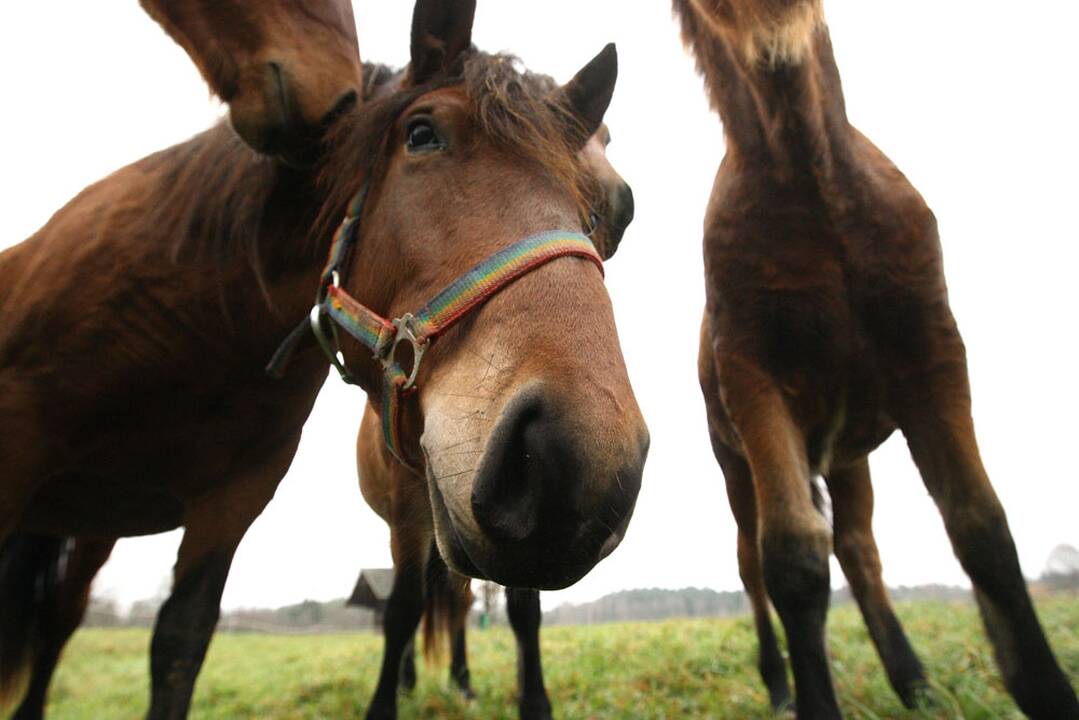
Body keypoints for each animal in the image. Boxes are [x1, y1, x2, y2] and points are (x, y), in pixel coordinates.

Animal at [0, 0, 643, 716]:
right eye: (422, 134)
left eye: (598, 211)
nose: (578, 458)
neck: (196, 314)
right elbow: (402, 607)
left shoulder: (234, 501)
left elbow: (181, 643)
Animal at [673, 1, 1079, 720]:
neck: (810, 184)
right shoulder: (754, 379)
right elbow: (792, 560)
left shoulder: (935, 355)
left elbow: (982, 526)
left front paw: (1045, 689)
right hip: (736, 463)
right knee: (752, 561)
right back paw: (780, 685)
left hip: (847, 454)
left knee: (858, 547)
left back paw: (912, 681)